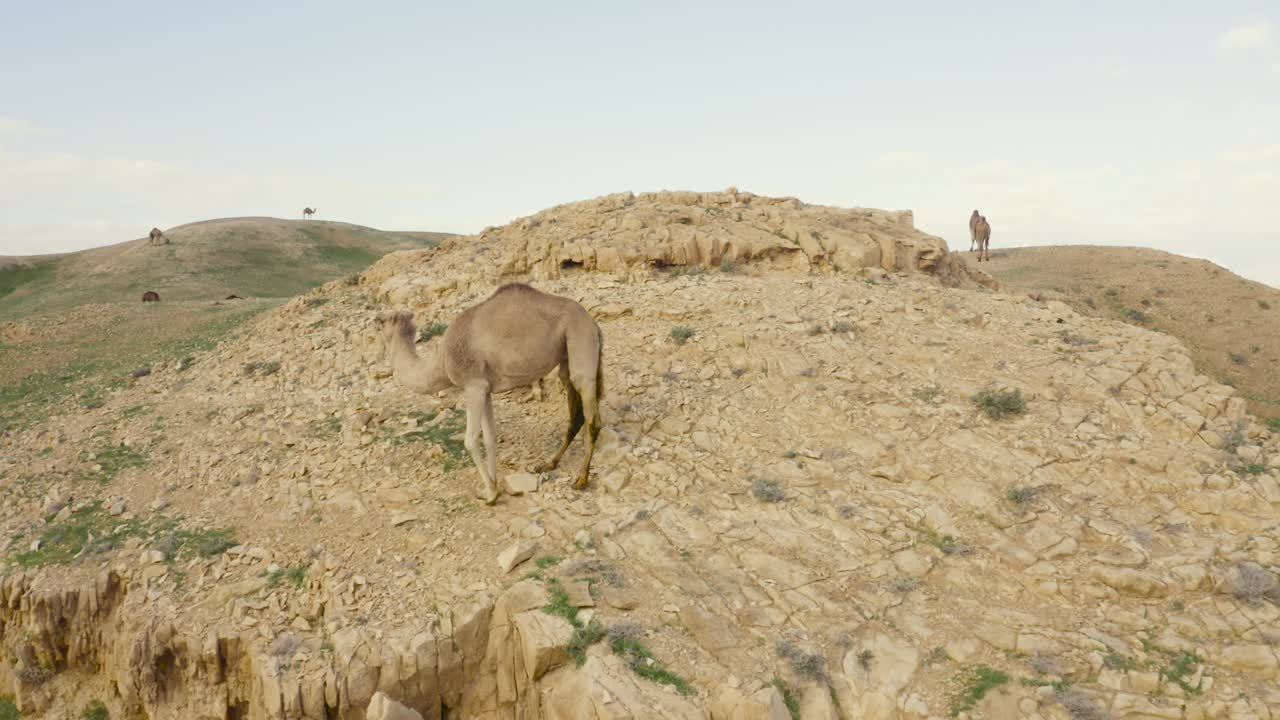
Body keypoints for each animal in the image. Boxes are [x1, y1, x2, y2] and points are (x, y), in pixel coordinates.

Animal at [374, 283, 605, 505]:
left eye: (380, 322)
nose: (375, 320)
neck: (442, 361)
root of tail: (594, 324)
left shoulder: (473, 386)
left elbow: (470, 440)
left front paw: (491, 495)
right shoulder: (485, 389)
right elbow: (490, 438)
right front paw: (492, 486)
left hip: (580, 340)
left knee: (592, 417)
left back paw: (581, 479)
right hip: (566, 357)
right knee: (575, 413)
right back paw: (547, 464)